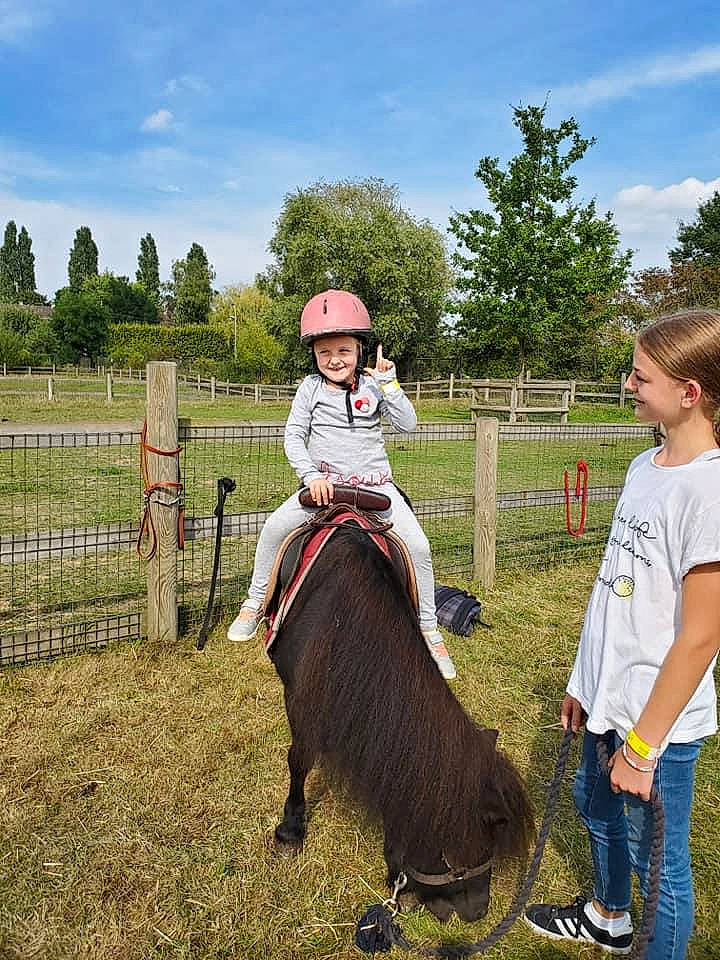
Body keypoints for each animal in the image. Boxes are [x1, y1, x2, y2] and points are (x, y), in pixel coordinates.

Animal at [269, 523, 534, 922]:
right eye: (463, 849)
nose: (477, 911)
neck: (339, 622)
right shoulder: (299, 701)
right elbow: (299, 760)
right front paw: (290, 831)